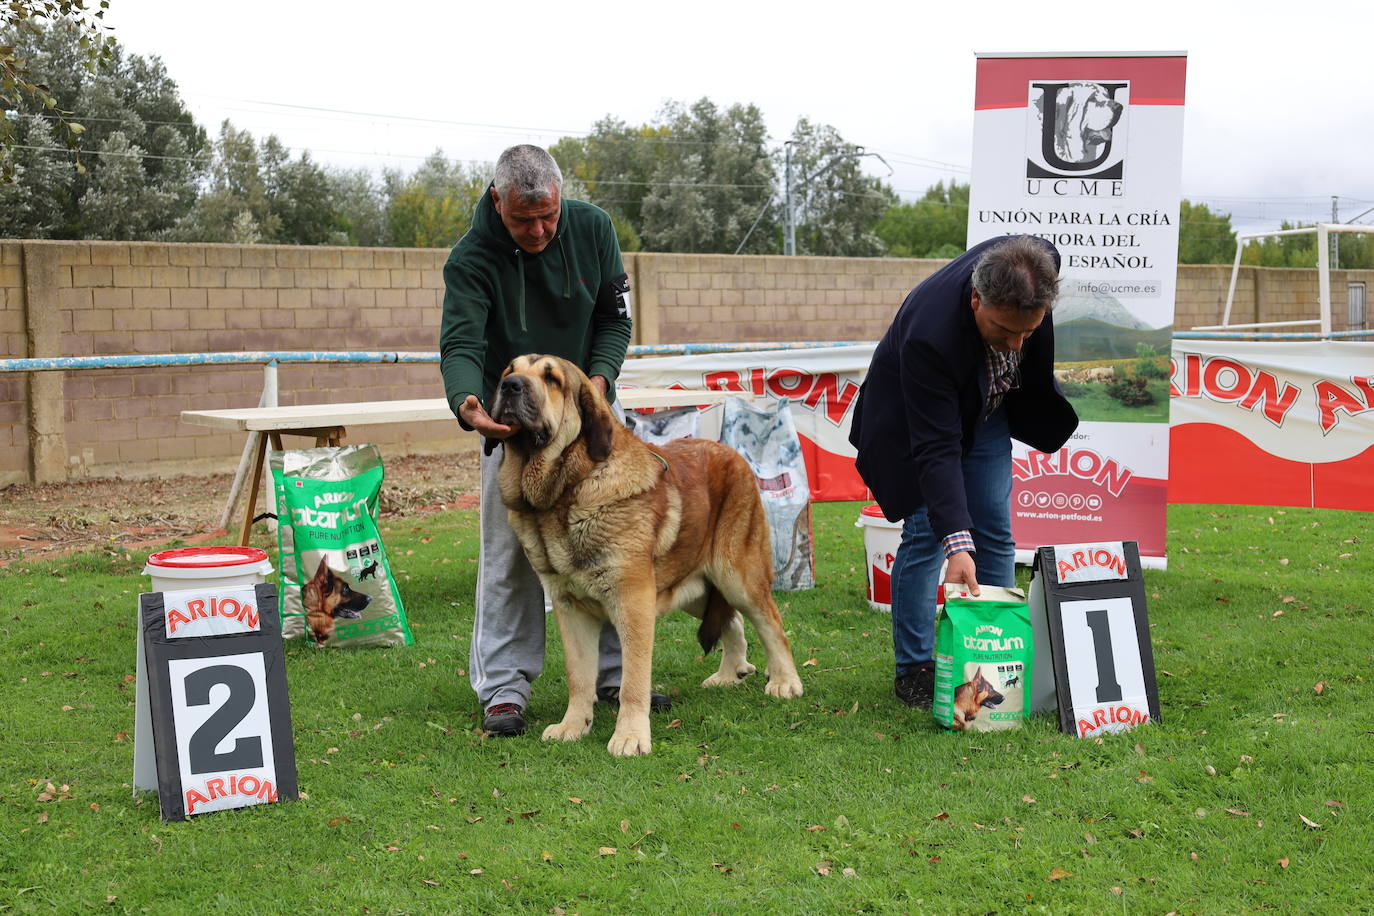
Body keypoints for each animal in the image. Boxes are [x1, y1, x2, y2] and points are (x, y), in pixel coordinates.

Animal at [491, 354, 802, 758]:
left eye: (552, 379)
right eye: (509, 371)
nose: (510, 385)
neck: (565, 493)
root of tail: (730, 452)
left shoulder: (633, 601)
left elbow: (632, 679)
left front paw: (630, 736)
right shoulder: (570, 608)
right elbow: (579, 677)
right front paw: (573, 726)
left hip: (737, 576)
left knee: (771, 625)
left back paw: (785, 681)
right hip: (691, 587)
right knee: (730, 620)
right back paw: (729, 673)